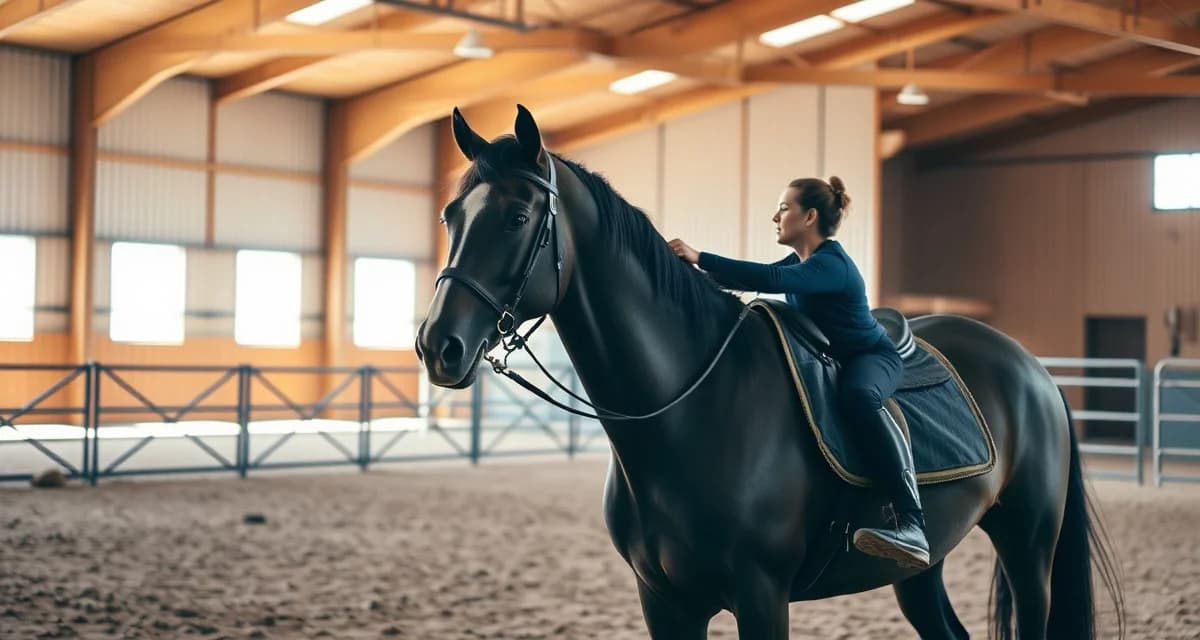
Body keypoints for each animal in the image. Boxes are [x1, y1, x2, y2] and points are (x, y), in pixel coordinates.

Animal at [415, 105, 1124, 639]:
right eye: (451, 216)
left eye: (516, 217)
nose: (437, 346)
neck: (689, 409)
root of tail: (1032, 370)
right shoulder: (664, 602)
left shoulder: (761, 596)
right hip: (923, 569)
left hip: (1028, 546)